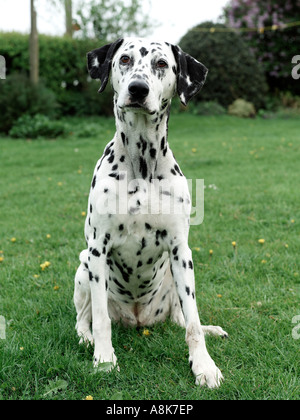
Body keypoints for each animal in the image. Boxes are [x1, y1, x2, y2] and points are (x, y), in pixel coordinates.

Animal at [73, 37, 227, 388]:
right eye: (125, 59)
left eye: (161, 63)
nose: (138, 89)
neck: (141, 164)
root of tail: (137, 319)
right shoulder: (97, 250)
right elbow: (101, 319)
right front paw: (104, 359)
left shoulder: (180, 250)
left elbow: (192, 323)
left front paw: (204, 365)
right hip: (84, 267)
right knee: (83, 318)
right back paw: (86, 339)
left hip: (176, 273)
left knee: (181, 318)